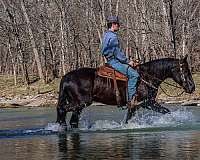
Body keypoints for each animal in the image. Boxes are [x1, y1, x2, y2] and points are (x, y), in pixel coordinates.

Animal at [56, 55, 195, 128]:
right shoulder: (144, 103)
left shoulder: (145, 104)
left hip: (78, 105)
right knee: (62, 109)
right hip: (82, 102)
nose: (192, 87)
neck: (147, 77)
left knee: (71, 119)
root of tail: (65, 77)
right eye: (186, 71)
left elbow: (166, 111)